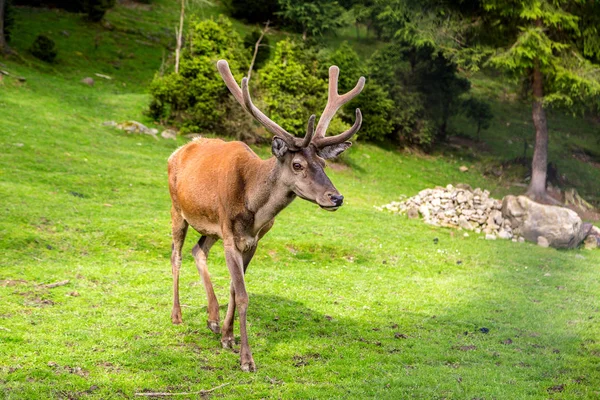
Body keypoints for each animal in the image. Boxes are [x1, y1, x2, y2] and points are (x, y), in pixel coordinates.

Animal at [168, 59, 366, 372]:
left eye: (323, 163)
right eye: (297, 165)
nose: (337, 197)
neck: (254, 208)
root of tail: (178, 151)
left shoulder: (252, 241)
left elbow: (235, 289)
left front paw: (227, 337)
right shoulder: (230, 238)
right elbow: (243, 294)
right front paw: (246, 359)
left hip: (211, 227)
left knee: (197, 251)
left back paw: (212, 318)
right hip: (178, 209)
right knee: (176, 255)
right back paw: (177, 315)